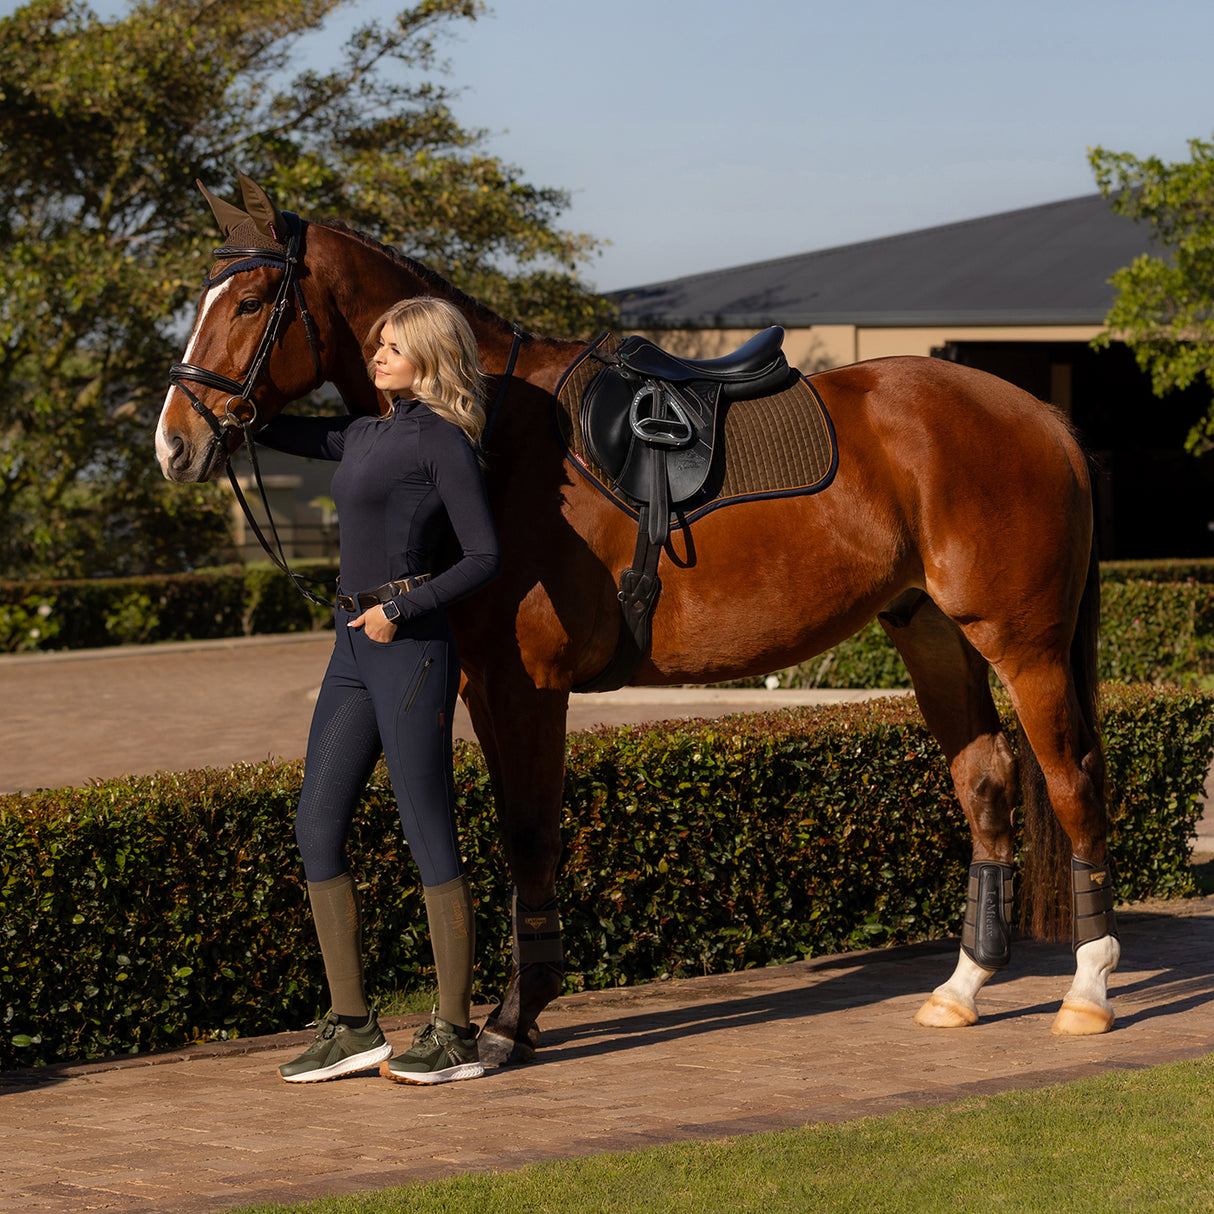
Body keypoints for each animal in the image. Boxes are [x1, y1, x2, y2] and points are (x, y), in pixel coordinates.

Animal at [159, 173, 1116, 1063]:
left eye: (251, 302)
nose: (175, 442)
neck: (490, 428)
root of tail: (1042, 414)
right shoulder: (484, 690)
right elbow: (517, 835)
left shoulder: (525, 689)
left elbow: (530, 837)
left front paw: (510, 1020)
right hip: (932, 634)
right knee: (987, 780)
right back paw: (963, 987)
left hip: (1022, 646)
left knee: (1070, 784)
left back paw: (1087, 991)